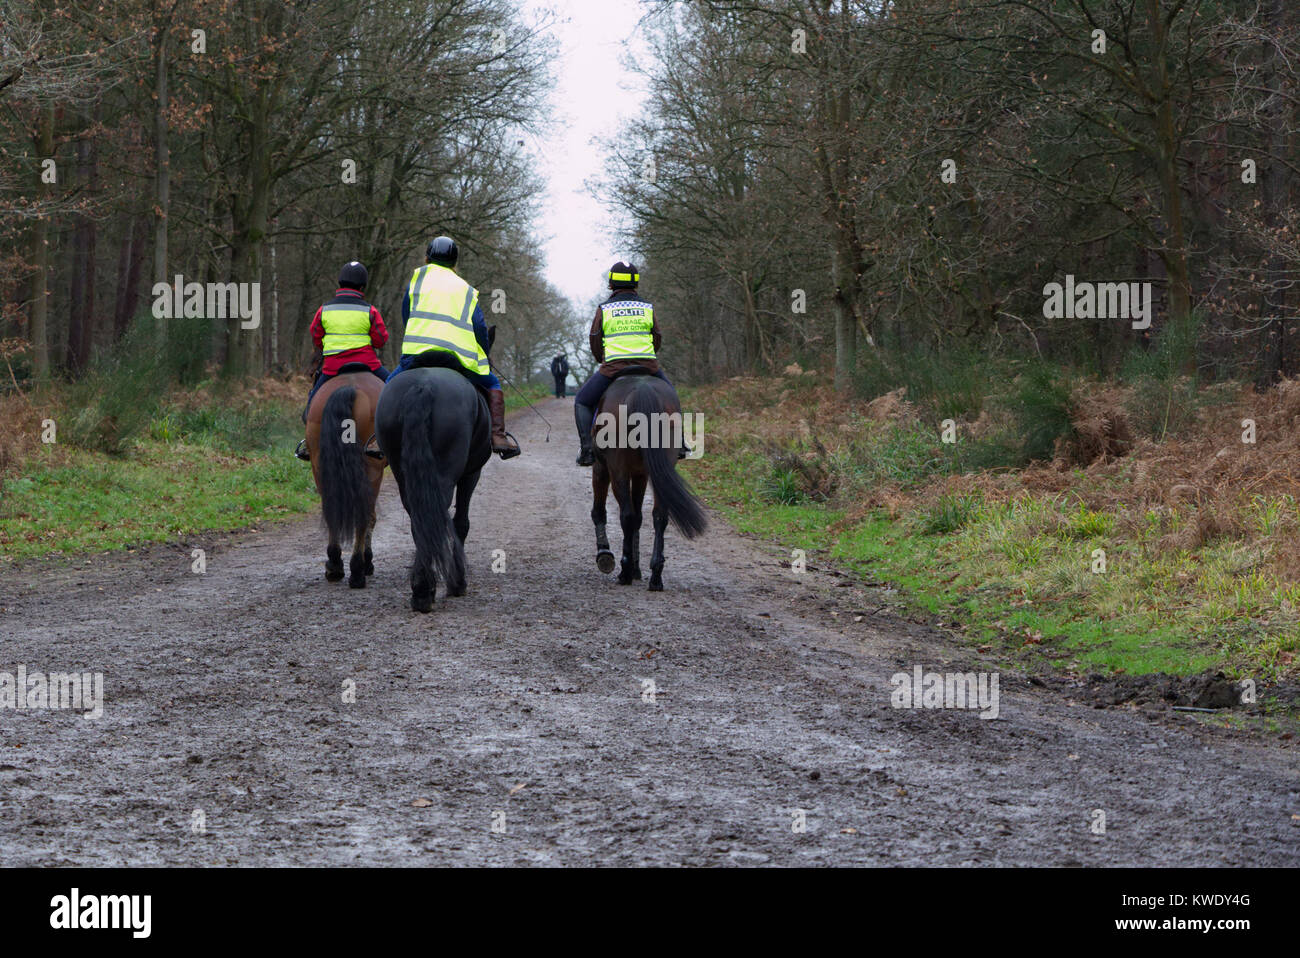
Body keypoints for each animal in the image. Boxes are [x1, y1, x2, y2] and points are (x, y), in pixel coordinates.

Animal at [304, 369, 384, 587]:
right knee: (365, 516)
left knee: (331, 510)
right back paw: (357, 569)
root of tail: (351, 389)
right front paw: (368, 562)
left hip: (319, 465)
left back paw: (335, 565)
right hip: (373, 468)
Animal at [374, 358, 488, 613]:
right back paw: (425, 591)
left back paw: (422, 588)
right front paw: (458, 582)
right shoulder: (471, 474)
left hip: (403, 474)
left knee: (420, 521)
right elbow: (461, 523)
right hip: (446, 474)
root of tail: (423, 387)